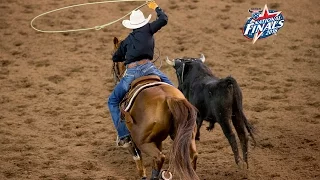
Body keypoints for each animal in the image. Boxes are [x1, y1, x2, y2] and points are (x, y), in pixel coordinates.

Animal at [111, 37, 199, 180]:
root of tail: (168, 98)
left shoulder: (133, 141)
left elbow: (138, 159)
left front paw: (142, 175)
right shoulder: (157, 140)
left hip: (143, 141)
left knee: (159, 158)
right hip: (187, 136)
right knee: (192, 156)